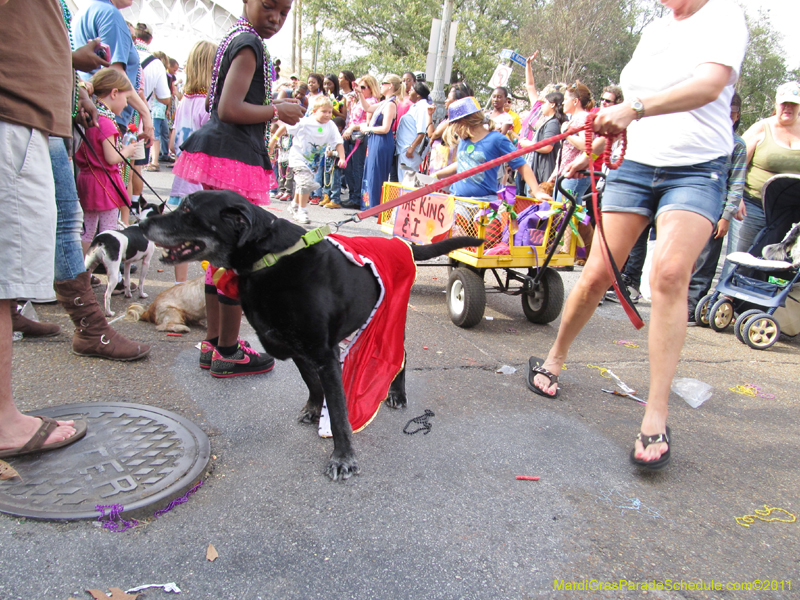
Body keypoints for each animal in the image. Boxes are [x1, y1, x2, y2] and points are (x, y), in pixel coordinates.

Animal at [141, 190, 482, 480]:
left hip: (391, 317)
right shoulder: (297, 349)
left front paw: (342, 457)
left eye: (188, 210)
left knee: (400, 355)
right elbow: (313, 385)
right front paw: (314, 409)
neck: (270, 261)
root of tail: (402, 243)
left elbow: (340, 414)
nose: (142, 223)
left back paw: (397, 392)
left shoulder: (323, 353)